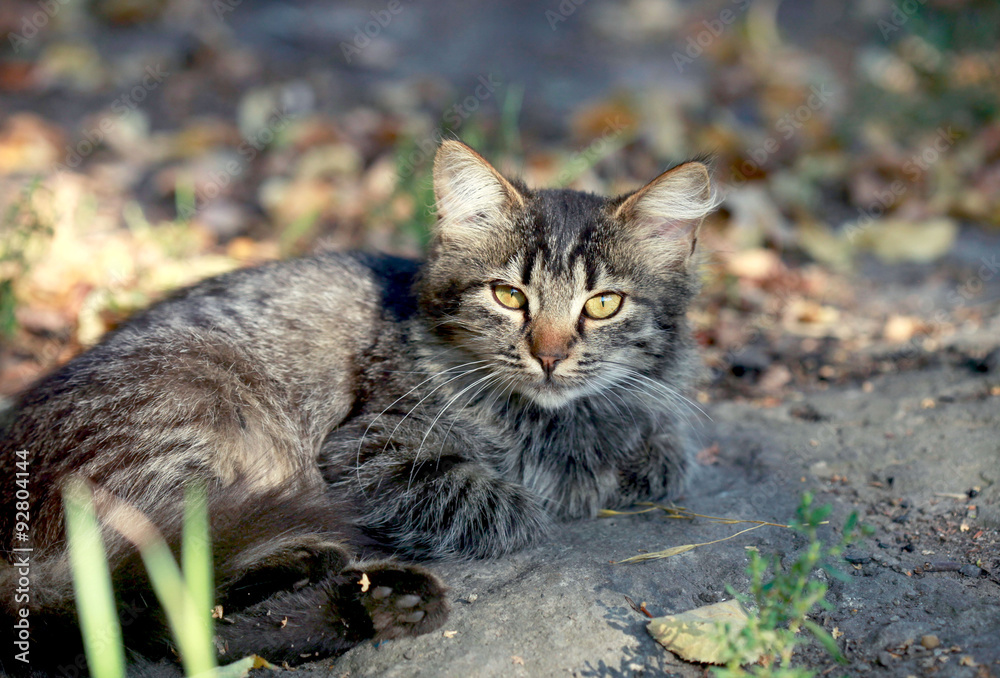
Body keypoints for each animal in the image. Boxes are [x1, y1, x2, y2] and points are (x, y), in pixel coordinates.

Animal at [0, 141, 720, 676]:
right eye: (509, 296)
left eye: (603, 304)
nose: (547, 355)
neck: (555, 420)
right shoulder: (370, 452)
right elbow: (506, 509)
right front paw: (551, 496)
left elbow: (665, 450)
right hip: (209, 433)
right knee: (154, 609)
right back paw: (356, 583)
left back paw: (376, 602)